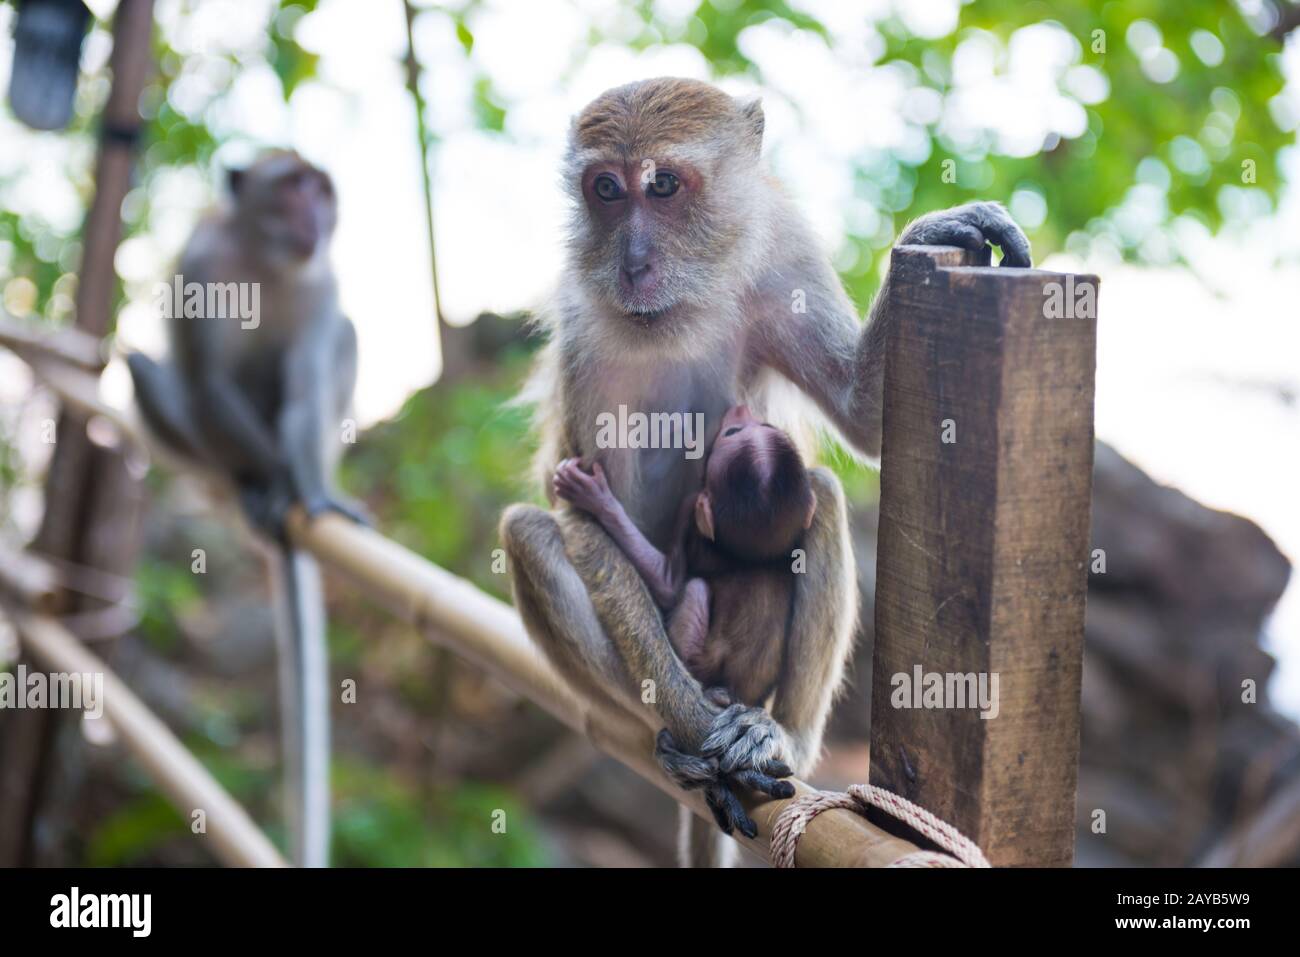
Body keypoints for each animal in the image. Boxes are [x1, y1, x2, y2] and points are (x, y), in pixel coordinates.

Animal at [127, 149, 361, 868]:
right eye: (292, 186)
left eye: (321, 190)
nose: (314, 213)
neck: (269, 259)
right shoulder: (201, 266)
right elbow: (209, 383)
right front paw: (274, 484)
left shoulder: (322, 284)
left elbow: (305, 393)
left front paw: (306, 490)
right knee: (143, 366)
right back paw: (249, 484)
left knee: (342, 339)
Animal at [553, 403, 816, 837]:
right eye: (757, 425)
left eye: (732, 434)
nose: (740, 409)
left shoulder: (690, 516)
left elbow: (667, 582)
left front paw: (596, 499)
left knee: (693, 588)